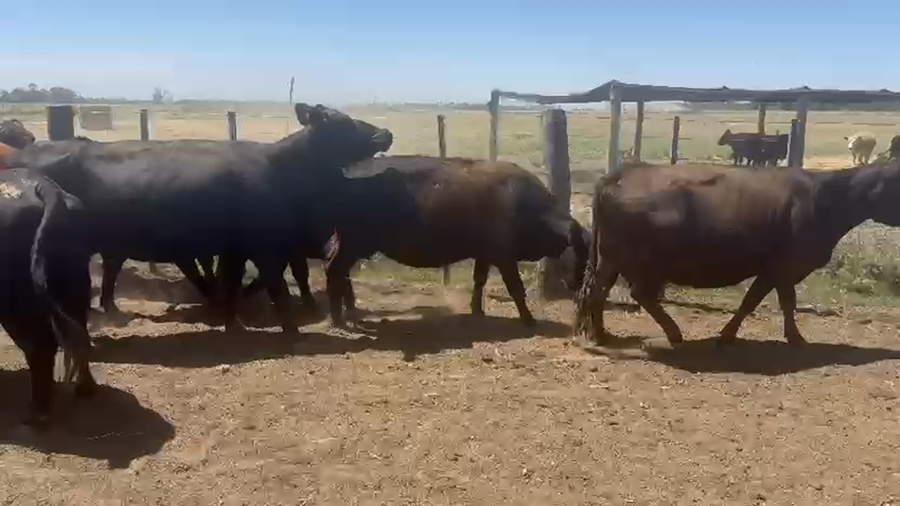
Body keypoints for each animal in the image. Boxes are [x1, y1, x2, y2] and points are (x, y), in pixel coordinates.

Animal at [0, 167, 96, 427]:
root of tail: (45, 187)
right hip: (75, 287)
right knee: (79, 336)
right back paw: (84, 388)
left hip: (17, 304)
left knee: (41, 346)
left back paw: (38, 413)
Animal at [10, 103, 393, 334]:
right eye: (343, 122)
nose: (385, 133)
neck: (281, 168)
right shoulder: (265, 244)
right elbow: (275, 283)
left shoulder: (237, 247)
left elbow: (231, 280)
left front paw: (230, 318)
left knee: (110, 272)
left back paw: (110, 308)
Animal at [319, 155, 590, 328]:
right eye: (581, 252)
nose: (581, 286)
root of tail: (345, 174)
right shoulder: (503, 256)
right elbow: (515, 287)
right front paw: (529, 320)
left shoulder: (484, 254)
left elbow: (479, 280)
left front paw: (477, 311)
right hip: (352, 244)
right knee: (334, 270)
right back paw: (338, 318)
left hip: (348, 245)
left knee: (338, 271)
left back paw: (349, 313)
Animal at [573, 160, 900, 347]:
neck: (825, 198)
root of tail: (625, 171)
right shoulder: (784, 266)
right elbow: (782, 302)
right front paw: (795, 338)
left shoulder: (772, 268)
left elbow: (752, 301)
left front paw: (729, 334)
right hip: (645, 263)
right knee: (637, 294)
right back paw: (672, 334)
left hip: (609, 259)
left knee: (597, 291)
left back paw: (600, 335)